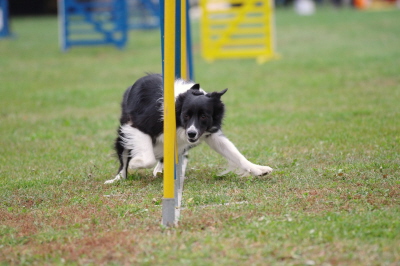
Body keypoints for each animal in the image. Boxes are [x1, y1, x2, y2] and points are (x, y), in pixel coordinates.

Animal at [103, 74, 272, 184]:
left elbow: (234, 153)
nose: (191, 133)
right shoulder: (138, 125)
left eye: (204, 116)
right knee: (124, 155)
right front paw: (135, 164)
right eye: (186, 115)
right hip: (124, 129)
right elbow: (147, 157)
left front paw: (258, 169)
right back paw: (118, 178)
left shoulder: (209, 133)